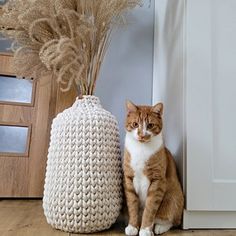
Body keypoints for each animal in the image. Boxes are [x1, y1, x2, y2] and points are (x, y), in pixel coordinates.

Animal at [123, 100, 184, 235]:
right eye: (135, 124)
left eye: (150, 125)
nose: (142, 135)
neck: (141, 149)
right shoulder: (128, 179)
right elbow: (132, 205)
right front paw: (133, 226)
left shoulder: (157, 181)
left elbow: (150, 208)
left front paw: (145, 229)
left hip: (174, 198)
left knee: (171, 220)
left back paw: (159, 227)